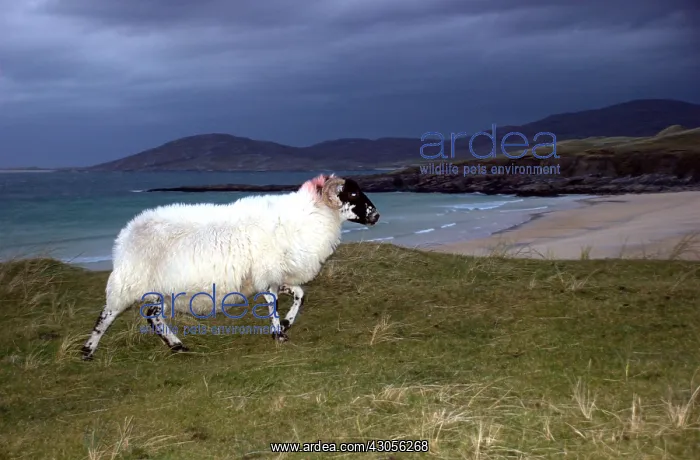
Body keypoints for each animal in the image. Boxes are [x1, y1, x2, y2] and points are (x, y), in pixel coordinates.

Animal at [81, 174, 380, 360]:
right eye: (352, 192)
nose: (376, 216)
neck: (306, 217)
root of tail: (126, 234)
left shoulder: (273, 275)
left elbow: (300, 294)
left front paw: (286, 323)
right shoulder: (267, 273)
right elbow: (272, 304)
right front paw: (278, 334)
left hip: (158, 289)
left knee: (153, 317)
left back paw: (177, 346)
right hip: (130, 281)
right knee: (107, 316)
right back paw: (87, 351)